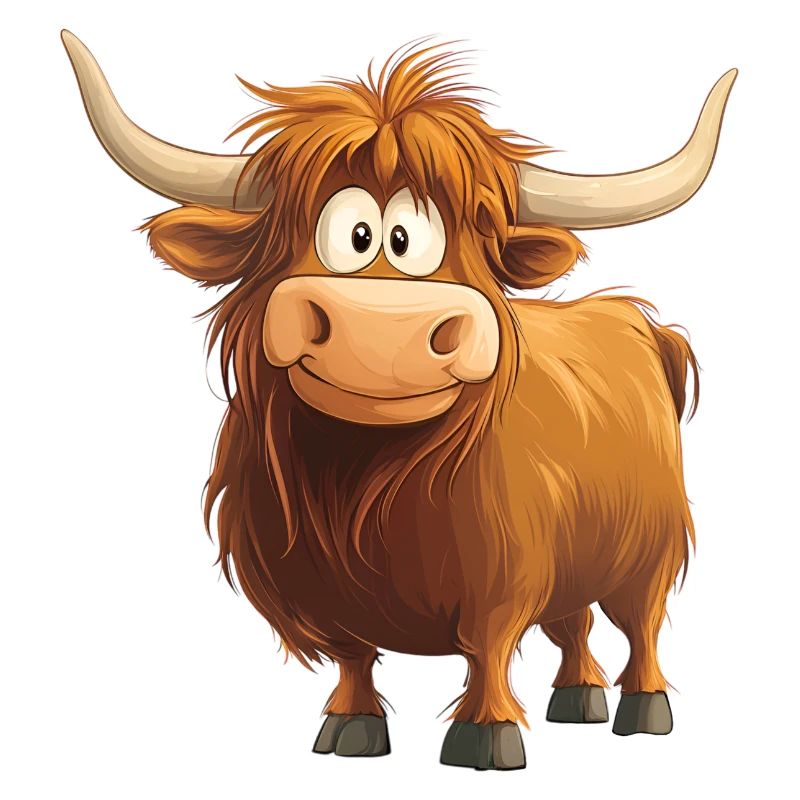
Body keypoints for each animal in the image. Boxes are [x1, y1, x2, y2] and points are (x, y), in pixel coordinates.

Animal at [62, 30, 735, 770]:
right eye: (352, 235)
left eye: (413, 240)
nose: (382, 328)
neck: (363, 485)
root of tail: (636, 319)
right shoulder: (308, 582)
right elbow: (352, 654)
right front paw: (349, 725)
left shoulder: (504, 568)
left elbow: (487, 646)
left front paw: (486, 734)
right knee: (574, 623)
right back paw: (577, 699)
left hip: (649, 548)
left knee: (641, 625)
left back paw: (643, 711)